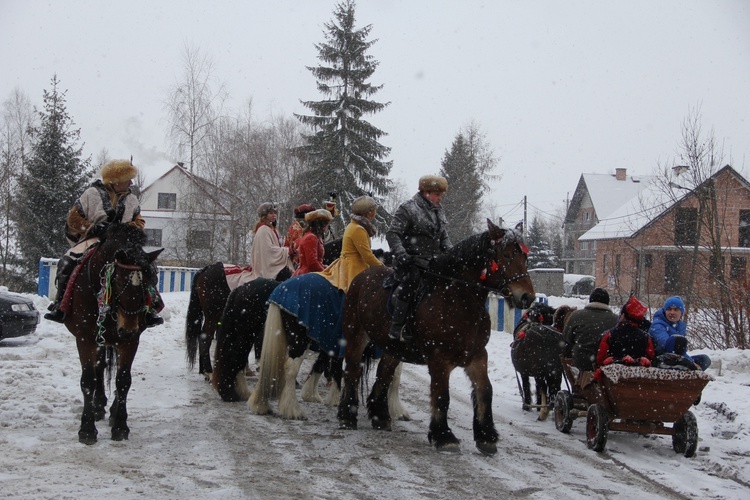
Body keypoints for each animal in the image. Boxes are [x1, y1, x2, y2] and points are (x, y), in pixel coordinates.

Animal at [62, 225, 163, 444]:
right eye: (117, 282)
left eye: (150, 280)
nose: (127, 329)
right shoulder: (85, 339)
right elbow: (88, 380)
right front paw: (87, 429)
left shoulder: (130, 341)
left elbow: (123, 380)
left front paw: (120, 426)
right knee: (99, 367)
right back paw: (99, 406)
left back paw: (112, 410)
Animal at [338, 221, 536, 456]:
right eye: (505, 255)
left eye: (524, 257)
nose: (527, 297)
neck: (459, 299)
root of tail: (361, 277)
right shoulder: (439, 359)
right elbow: (442, 396)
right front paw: (444, 436)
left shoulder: (477, 355)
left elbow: (485, 390)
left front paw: (486, 437)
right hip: (355, 336)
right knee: (353, 371)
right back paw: (347, 416)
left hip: (394, 348)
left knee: (384, 374)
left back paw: (380, 417)